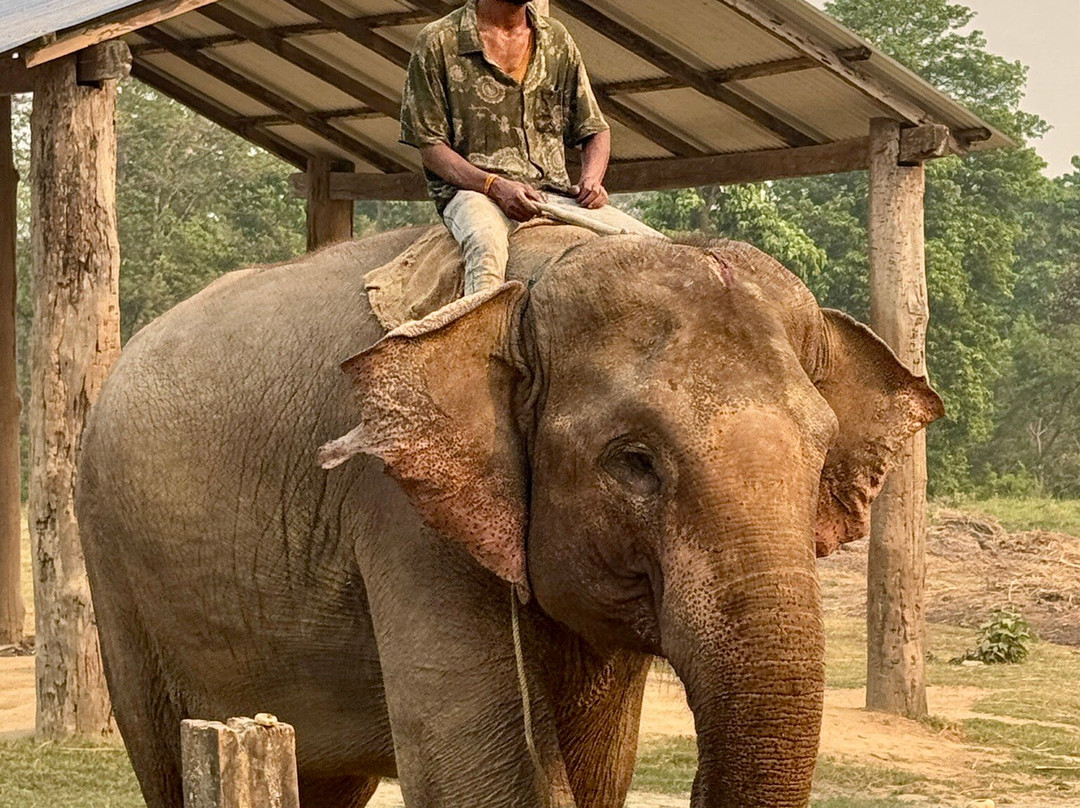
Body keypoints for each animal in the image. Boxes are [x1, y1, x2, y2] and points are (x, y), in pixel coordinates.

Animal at [75, 223, 943, 808]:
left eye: (819, 457)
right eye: (635, 461)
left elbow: (597, 773)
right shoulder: (400, 514)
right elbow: (475, 774)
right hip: (113, 569)